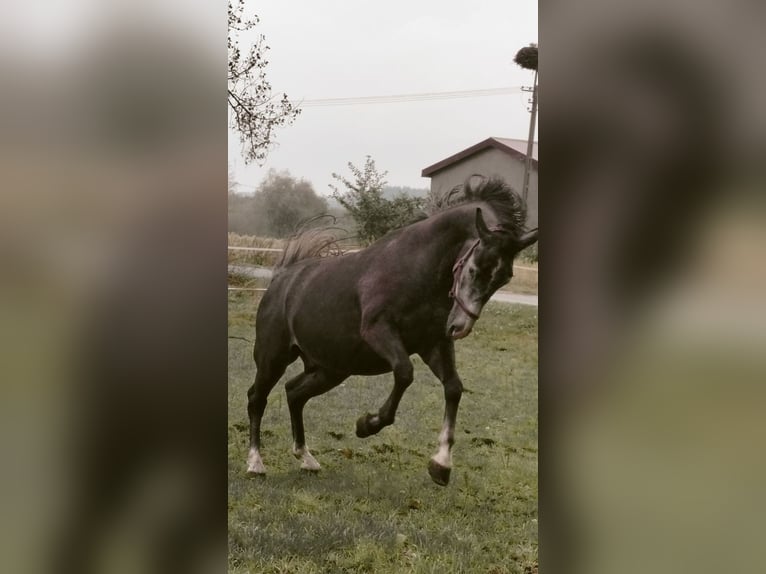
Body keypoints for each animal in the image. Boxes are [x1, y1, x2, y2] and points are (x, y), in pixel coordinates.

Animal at [248, 176, 540, 486]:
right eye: (474, 268)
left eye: (504, 278)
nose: (459, 327)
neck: (417, 270)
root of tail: (281, 279)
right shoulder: (379, 330)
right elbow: (404, 373)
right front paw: (366, 425)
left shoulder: (434, 343)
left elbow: (454, 388)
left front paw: (441, 464)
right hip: (273, 358)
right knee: (257, 397)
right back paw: (255, 462)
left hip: (331, 369)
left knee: (294, 393)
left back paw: (306, 457)